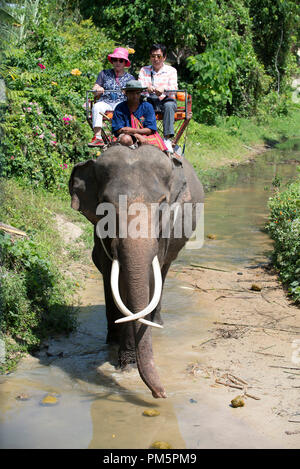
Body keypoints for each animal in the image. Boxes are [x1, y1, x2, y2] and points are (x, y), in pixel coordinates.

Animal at [68, 144, 204, 396]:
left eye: (162, 203)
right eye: (105, 204)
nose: (161, 394)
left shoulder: (164, 232)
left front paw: (127, 362)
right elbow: (112, 277)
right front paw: (125, 361)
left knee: (164, 270)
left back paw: (157, 322)